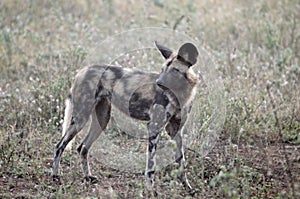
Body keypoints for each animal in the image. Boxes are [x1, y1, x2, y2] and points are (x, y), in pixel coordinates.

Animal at [51, 41, 199, 190]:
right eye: (162, 70)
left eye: (175, 71)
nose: (159, 83)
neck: (180, 96)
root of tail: (82, 70)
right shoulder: (154, 127)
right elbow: (151, 166)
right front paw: (150, 190)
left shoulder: (175, 130)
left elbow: (181, 162)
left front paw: (187, 187)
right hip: (81, 119)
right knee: (59, 146)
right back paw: (55, 176)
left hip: (102, 120)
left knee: (82, 147)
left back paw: (87, 177)